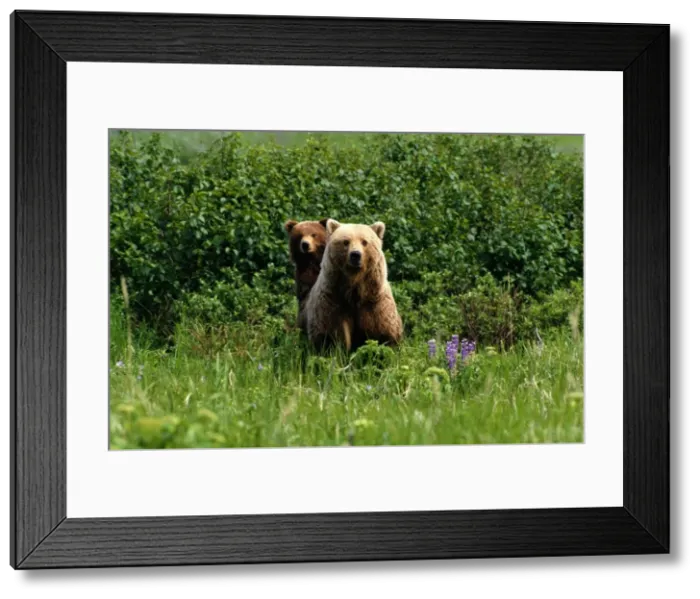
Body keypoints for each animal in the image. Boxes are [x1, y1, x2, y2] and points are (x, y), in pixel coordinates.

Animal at [303, 219, 403, 352]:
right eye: (345, 242)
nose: (355, 255)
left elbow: (384, 331)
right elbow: (329, 332)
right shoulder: (332, 299)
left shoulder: (375, 302)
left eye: (364, 242)